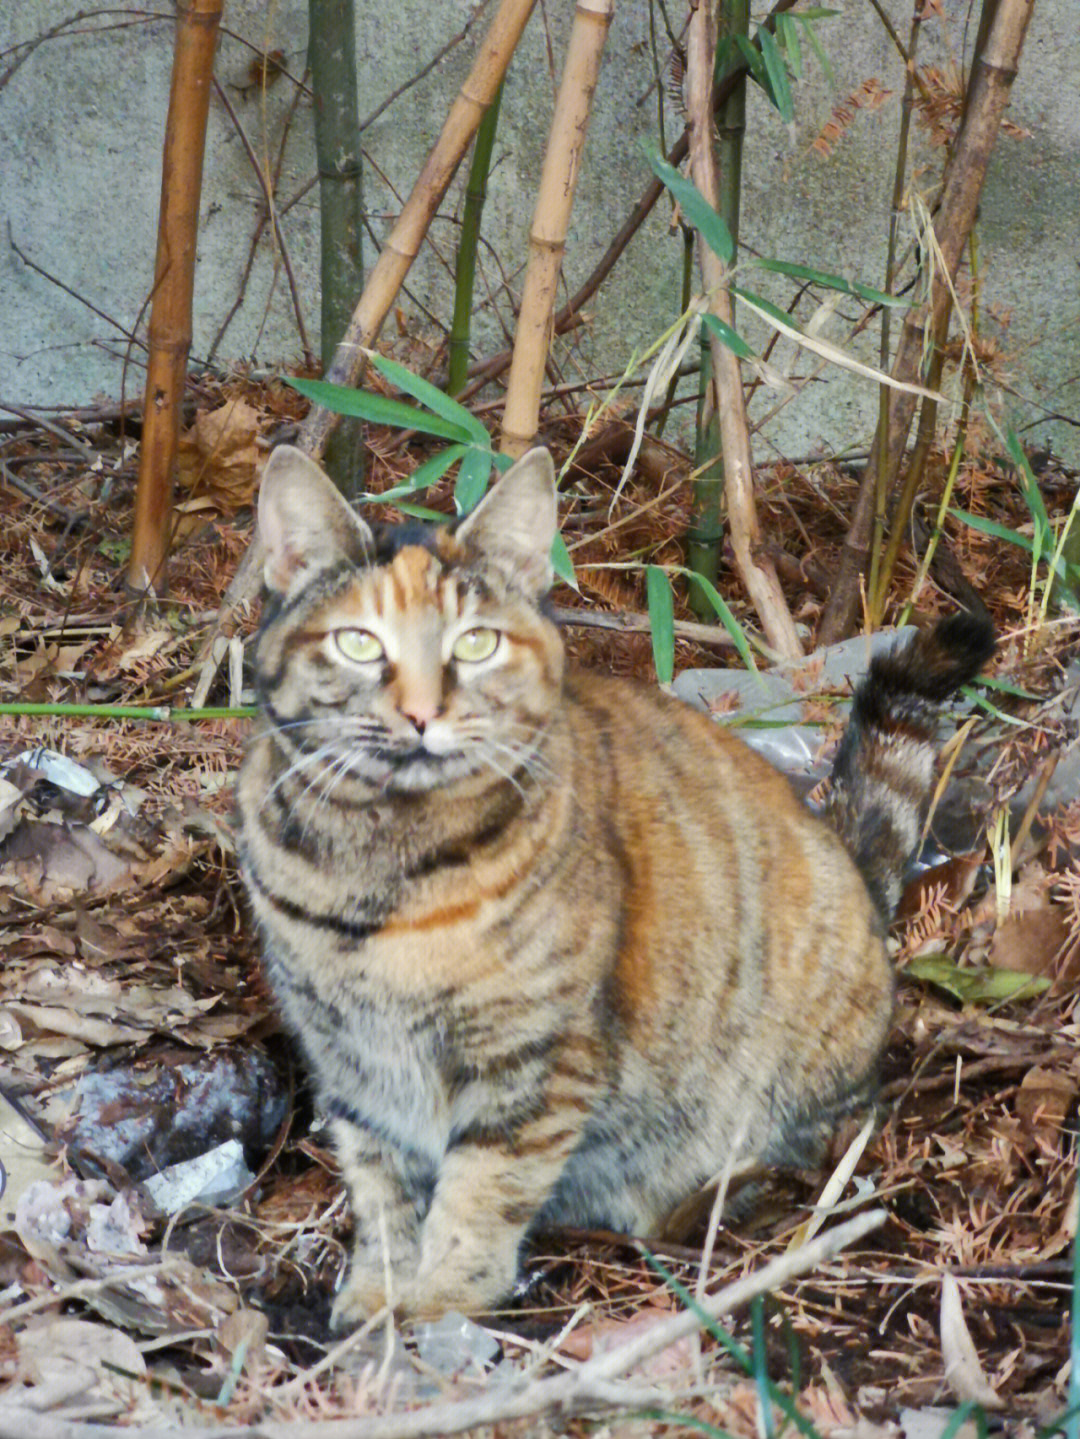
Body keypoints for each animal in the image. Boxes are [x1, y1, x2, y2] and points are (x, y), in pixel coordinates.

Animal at [238, 440, 995, 1323]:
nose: (422, 714)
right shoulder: (350, 1059)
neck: (381, 857)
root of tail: (844, 856)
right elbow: (380, 1181)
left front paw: (443, 1297)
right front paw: (378, 1290)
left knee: (825, 1141)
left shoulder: (533, 1056)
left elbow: (481, 1186)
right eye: (359, 644)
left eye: (476, 644)